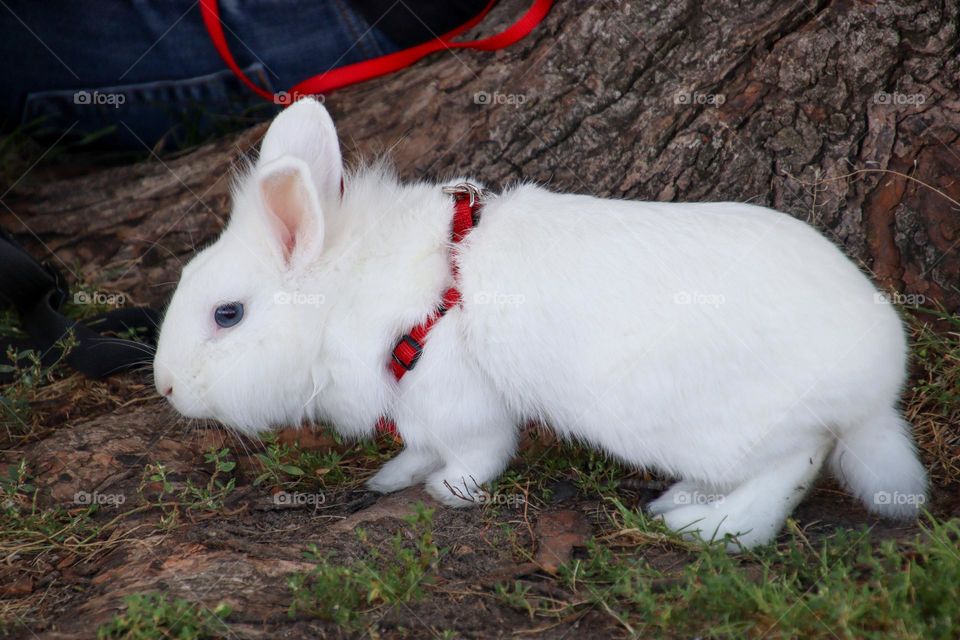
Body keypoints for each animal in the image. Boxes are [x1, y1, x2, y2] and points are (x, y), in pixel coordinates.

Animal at [154, 97, 928, 548]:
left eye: (228, 314)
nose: (165, 388)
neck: (345, 292)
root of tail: (875, 385)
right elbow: (416, 450)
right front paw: (390, 480)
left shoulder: (459, 401)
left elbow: (475, 454)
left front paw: (446, 493)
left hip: (745, 429)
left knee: (793, 466)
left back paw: (710, 527)